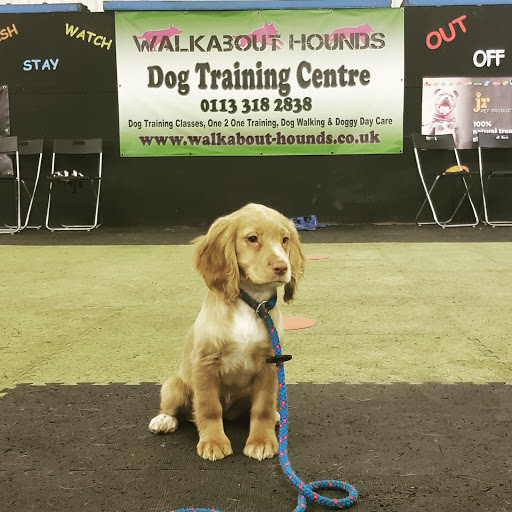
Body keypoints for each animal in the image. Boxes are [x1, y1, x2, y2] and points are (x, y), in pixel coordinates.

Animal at [150, 203, 306, 460]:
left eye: (284, 240)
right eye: (252, 238)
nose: (283, 267)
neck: (251, 304)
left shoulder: (270, 366)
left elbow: (262, 408)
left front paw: (261, 441)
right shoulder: (205, 365)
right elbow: (209, 407)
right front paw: (213, 442)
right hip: (174, 384)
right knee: (175, 407)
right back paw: (164, 420)